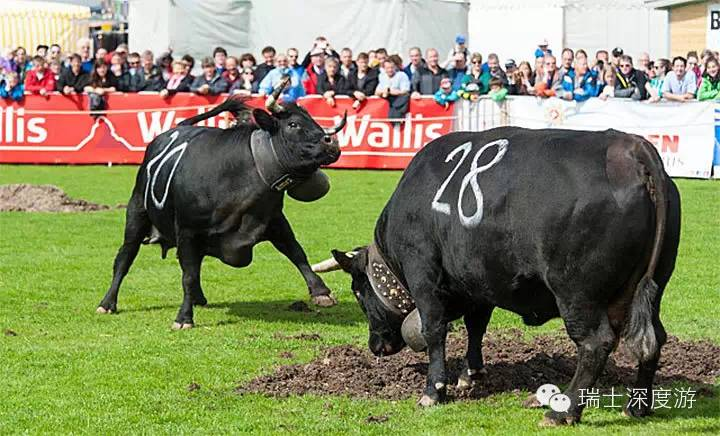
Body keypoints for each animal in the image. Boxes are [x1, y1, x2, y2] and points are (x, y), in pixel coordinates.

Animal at [97, 94, 348, 328]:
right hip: (136, 214)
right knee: (125, 258)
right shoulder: (187, 230)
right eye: (293, 124)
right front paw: (184, 318)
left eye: (311, 119)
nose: (332, 143)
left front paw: (321, 292)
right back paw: (107, 303)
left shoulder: (275, 220)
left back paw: (197, 297)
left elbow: (297, 253)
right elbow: (188, 275)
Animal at [320, 127, 680, 426]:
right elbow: (476, 327)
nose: (376, 345)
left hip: (577, 293)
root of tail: (630, 147)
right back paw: (637, 406)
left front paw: (434, 390)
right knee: (654, 339)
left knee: (596, 343)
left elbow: (434, 330)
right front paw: (470, 373)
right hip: (654, 286)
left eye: (358, 292)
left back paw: (563, 412)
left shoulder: (422, 271)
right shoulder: (479, 281)